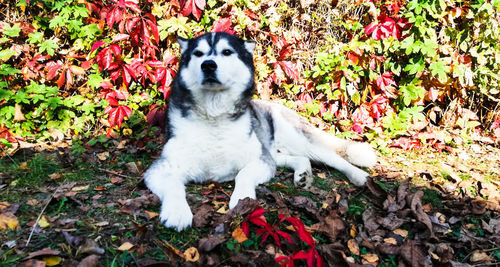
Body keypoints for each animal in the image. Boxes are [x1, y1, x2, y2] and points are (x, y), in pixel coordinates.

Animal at [145, 32, 376, 231]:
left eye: (227, 52)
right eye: (198, 54)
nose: (208, 65)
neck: (215, 115)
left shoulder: (260, 161)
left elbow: (243, 174)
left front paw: (241, 199)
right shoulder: (159, 168)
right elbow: (173, 184)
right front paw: (177, 212)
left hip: (297, 140)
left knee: (334, 158)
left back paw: (359, 176)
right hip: (274, 150)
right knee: (299, 158)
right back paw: (302, 173)